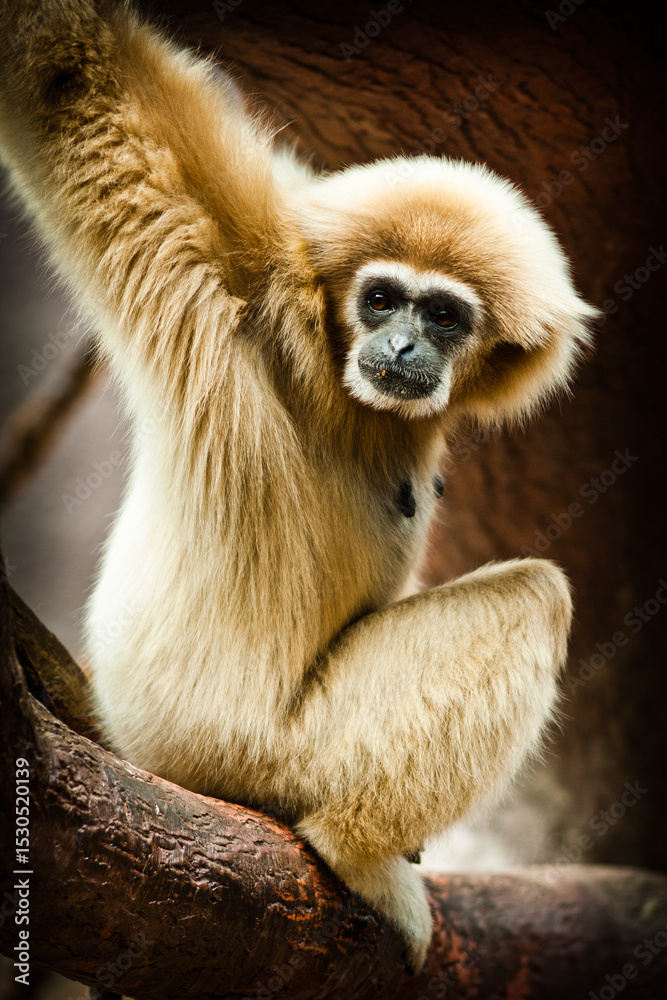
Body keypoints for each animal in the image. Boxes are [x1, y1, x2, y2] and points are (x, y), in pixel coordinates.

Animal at [0, 0, 598, 972]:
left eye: (443, 315)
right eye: (382, 298)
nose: (402, 345)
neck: (338, 373)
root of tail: (133, 733)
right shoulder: (239, 270)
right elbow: (72, 73)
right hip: (258, 754)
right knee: (533, 600)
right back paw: (356, 853)